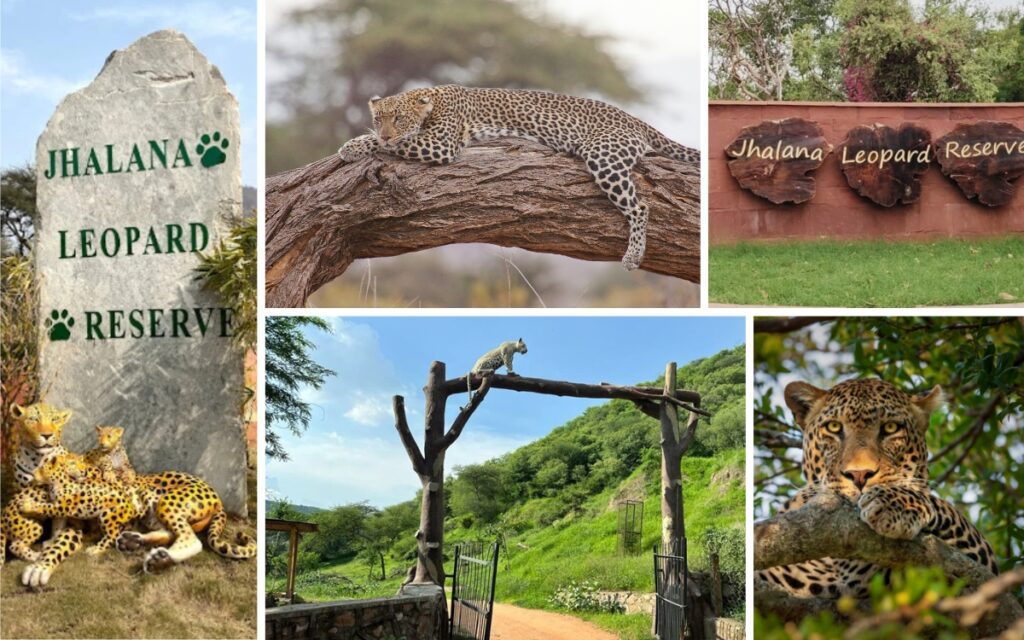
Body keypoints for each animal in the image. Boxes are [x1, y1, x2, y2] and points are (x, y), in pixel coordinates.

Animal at [337, 85, 700, 271]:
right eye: (379, 118)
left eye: (398, 118)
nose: (385, 133)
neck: (431, 101)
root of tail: (637, 121)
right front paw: (361, 142)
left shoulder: (440, 144)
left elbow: (399, 143)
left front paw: (354, 145)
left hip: (603, 157)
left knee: (640, 207)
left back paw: (633, 255)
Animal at [757, 378, 998, 600]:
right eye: (833, 427)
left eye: (891, 428)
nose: (859, 474)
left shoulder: (982, 566)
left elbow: (941, 505)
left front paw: (893, 505)